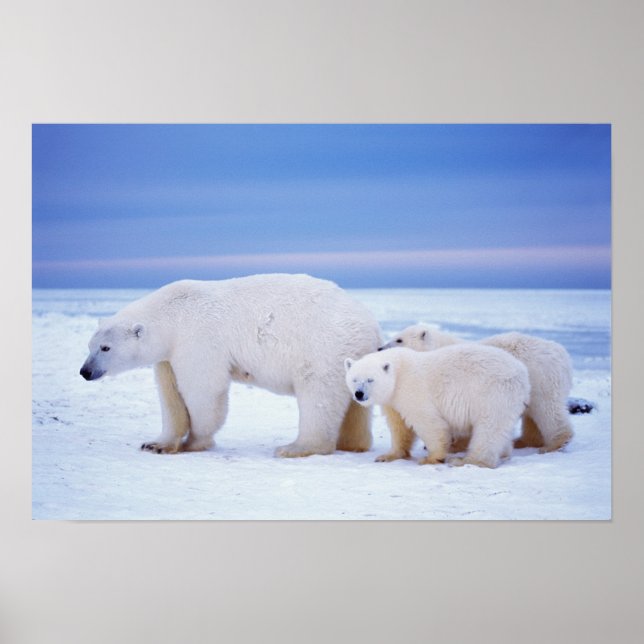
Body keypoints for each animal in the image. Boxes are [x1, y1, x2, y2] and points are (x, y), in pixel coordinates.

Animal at [79, 273, 382, 458]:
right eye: (90, 345)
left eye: (105, 348)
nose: (85, 371)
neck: (172, 315)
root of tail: (370, 323)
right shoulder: (168, 355)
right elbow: (170, 397)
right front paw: (156, 443)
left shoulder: (197, 339)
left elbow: (203, 390)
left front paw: (194, 442)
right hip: (353, 356)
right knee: (354, 406)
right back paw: (353, 444)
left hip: (323, 348)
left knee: (317, 395)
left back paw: (295, 447)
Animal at [345, 345, 530, 468]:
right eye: (354, 379)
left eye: (370, 379)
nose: (359, 393)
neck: (398, 372)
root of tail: (522, 373)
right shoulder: (392, 400)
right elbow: (400, 427)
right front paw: (388, 456)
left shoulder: (412, 390)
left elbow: (429, 423)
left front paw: (432, 458)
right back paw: (503, 453)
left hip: (493, 393)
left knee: (489, 428)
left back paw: (468, 461)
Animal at [379, 323, 574, 453]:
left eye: (399, 339)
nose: (380, 347)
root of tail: (562, 352)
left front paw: (454, 445)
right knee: (533, 416)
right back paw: (524, 441)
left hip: (542, 378)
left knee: (547, 409)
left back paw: (555, 443)